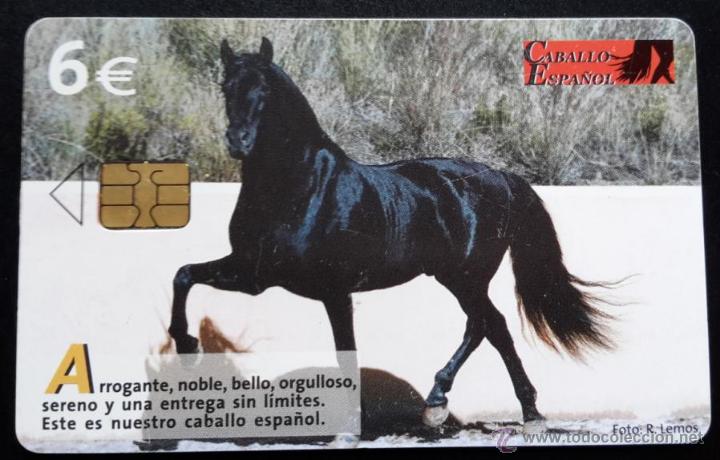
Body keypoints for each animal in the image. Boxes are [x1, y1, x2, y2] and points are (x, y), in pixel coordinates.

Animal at [168, 37, 615, 428]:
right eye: (226, 86)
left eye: (264, 88)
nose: (238, 141)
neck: (299, 187)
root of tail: (501, 177)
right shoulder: (254, 274)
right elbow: (184, 274)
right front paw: (185, 344)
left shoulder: (333, 290)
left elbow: (345, 352)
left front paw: (353, 426)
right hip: (459, 279)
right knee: (495, 328)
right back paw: (525, 412)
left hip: (464, 277)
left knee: (483, 326)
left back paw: (443, 402)